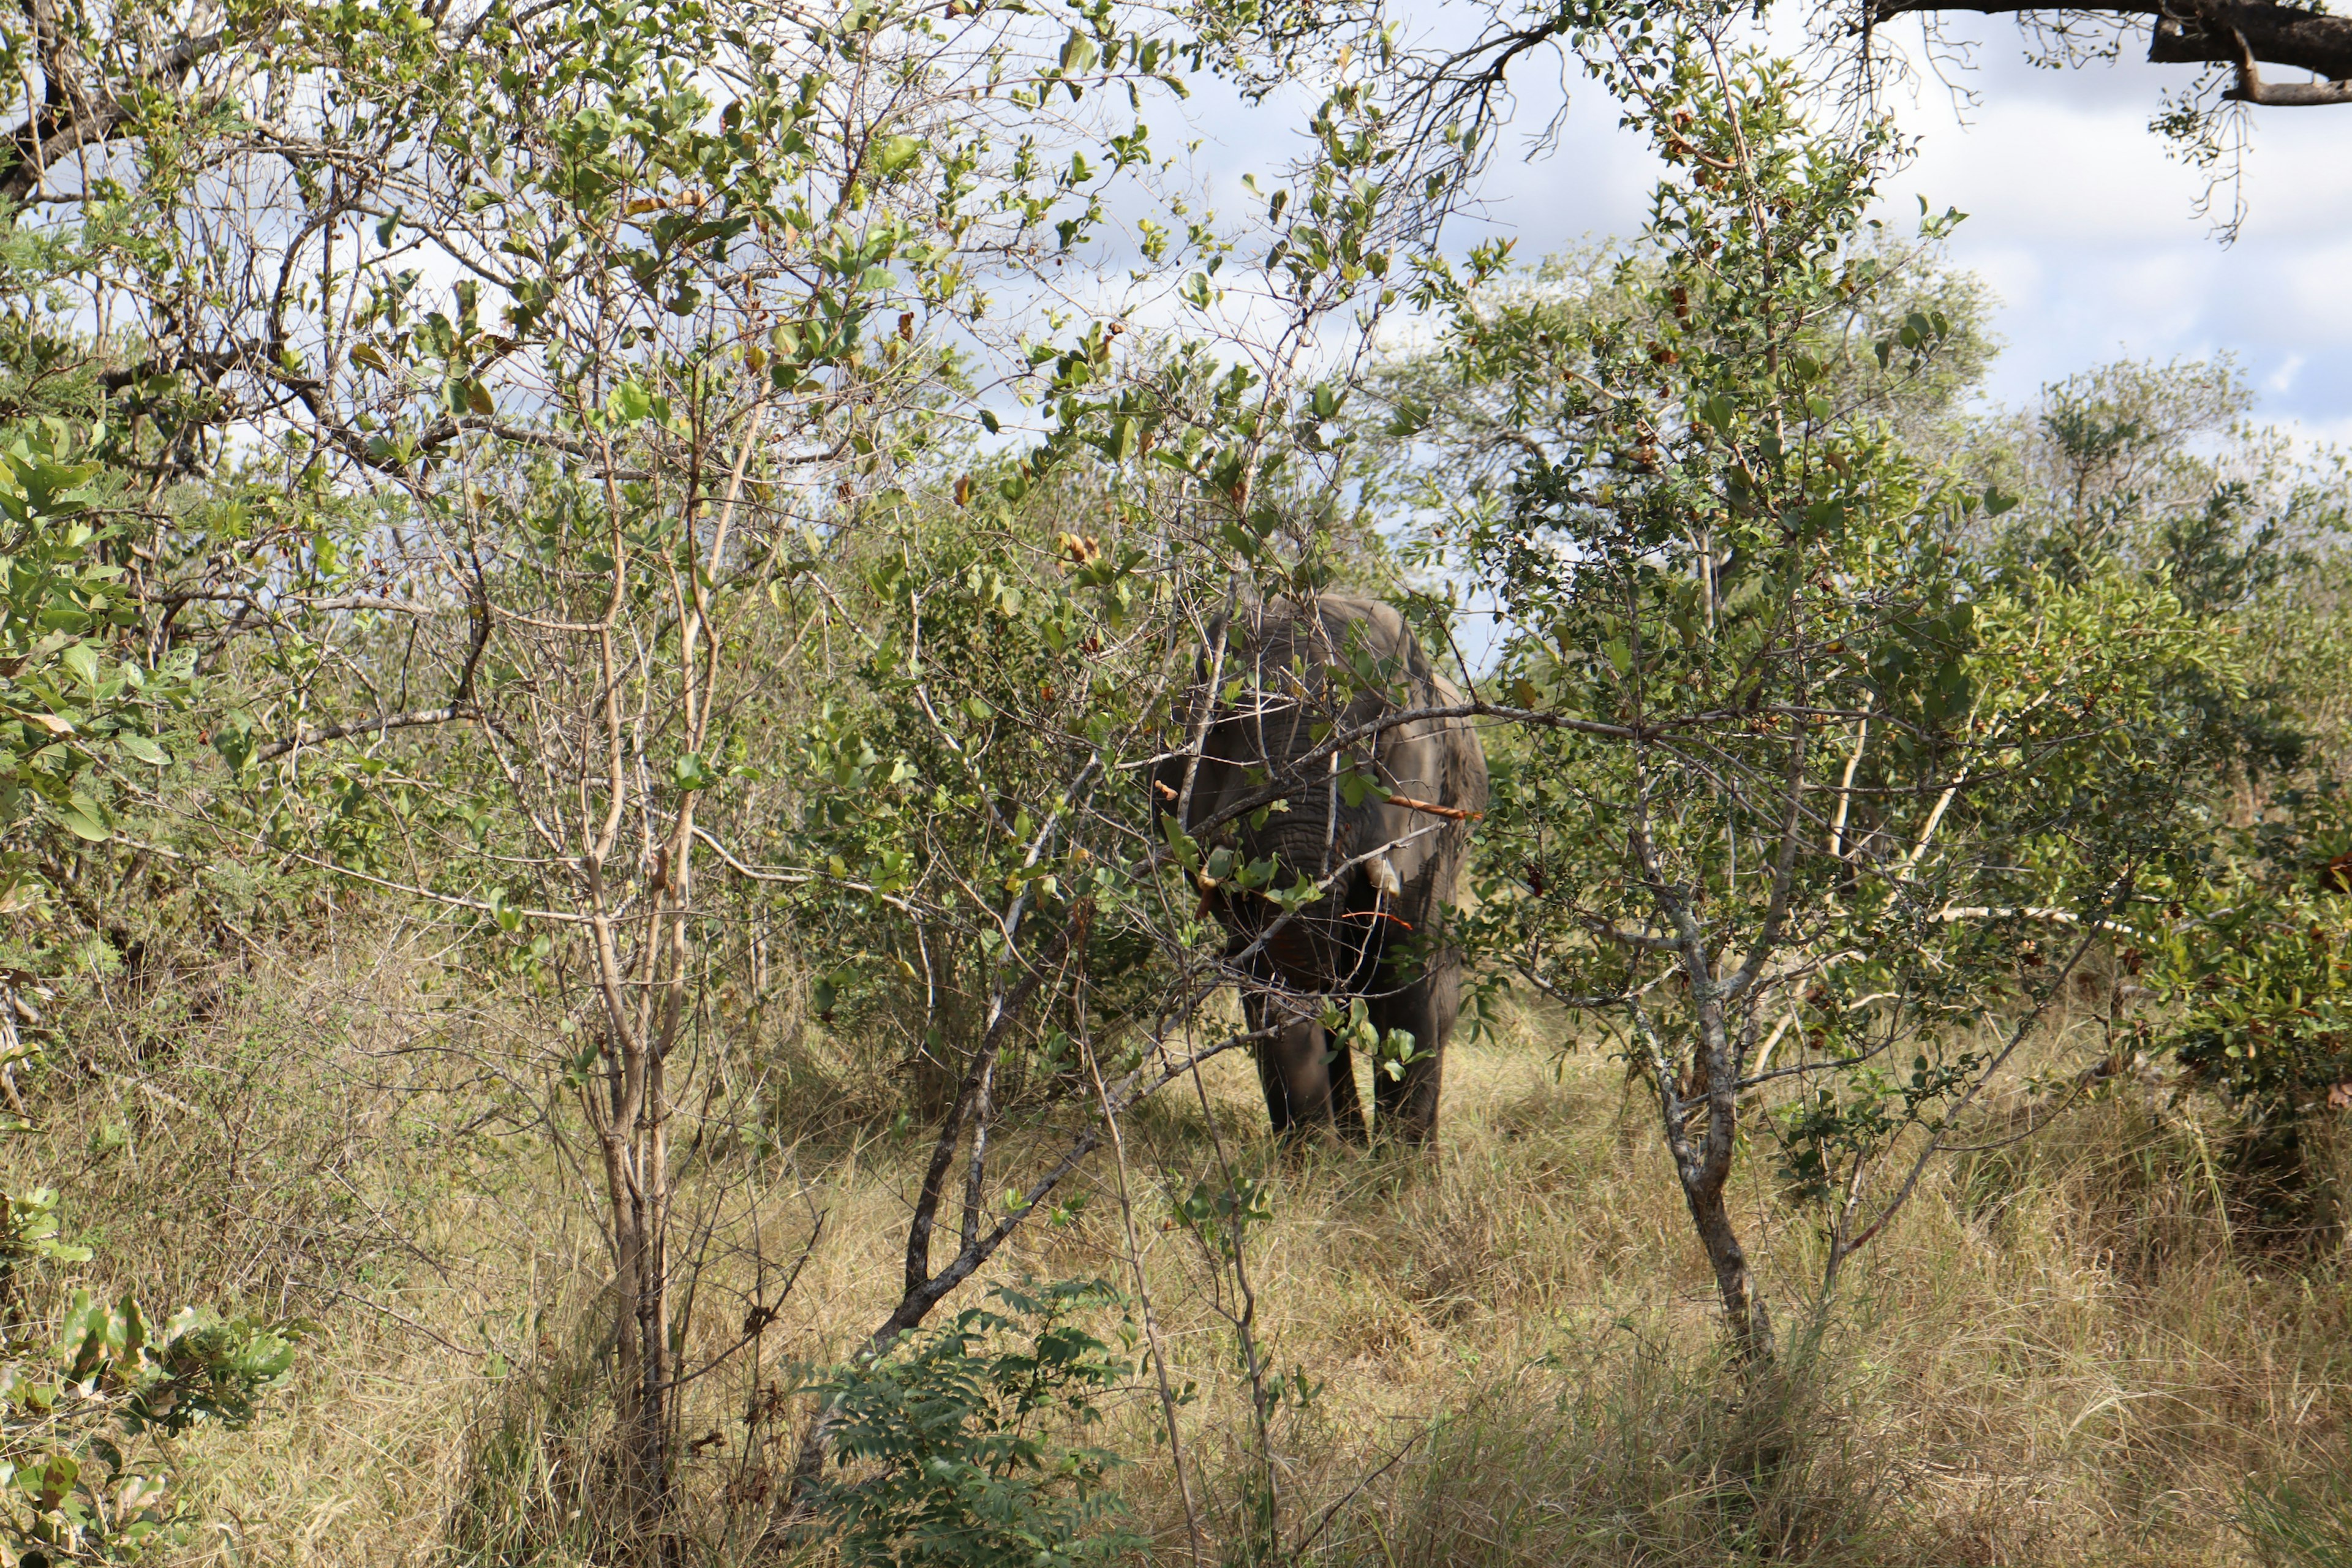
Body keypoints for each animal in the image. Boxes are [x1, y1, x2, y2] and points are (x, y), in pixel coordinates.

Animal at [1152, 595, 1486, 1147]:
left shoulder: (1429, 828)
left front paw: (1402, 1171)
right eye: (1218, 728)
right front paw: (1322, 1165)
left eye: (1381, 734)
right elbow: (1266, 978)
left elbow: (1406, 972)